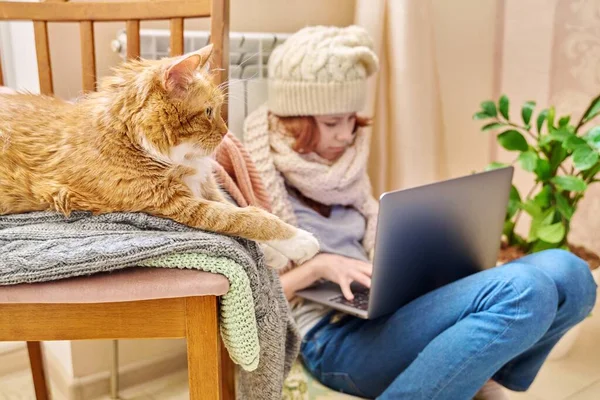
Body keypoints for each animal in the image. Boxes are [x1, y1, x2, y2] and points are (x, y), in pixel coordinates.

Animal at [0, 44, 318, 266]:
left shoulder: (206, 187)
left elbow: (242, 208)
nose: (226, 132)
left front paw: (274, 255)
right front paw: (299, 241)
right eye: (209, 111)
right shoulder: (177, 203)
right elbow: (247, 219)